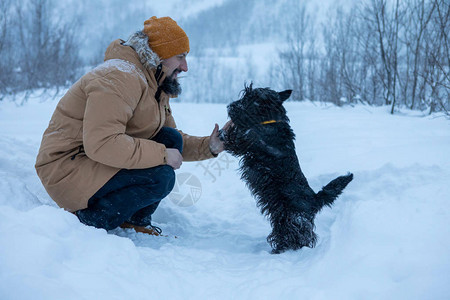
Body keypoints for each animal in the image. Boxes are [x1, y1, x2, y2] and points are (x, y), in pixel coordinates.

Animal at [220, 84, 354, 253]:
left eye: (250, 98)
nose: (230, 106)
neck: (268, 121)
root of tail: (315, 200)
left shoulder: (248, 142)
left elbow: (234, 139)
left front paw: (223, 132)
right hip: (281, 218)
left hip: (293, 219)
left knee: (299, 237)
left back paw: (282, 249)